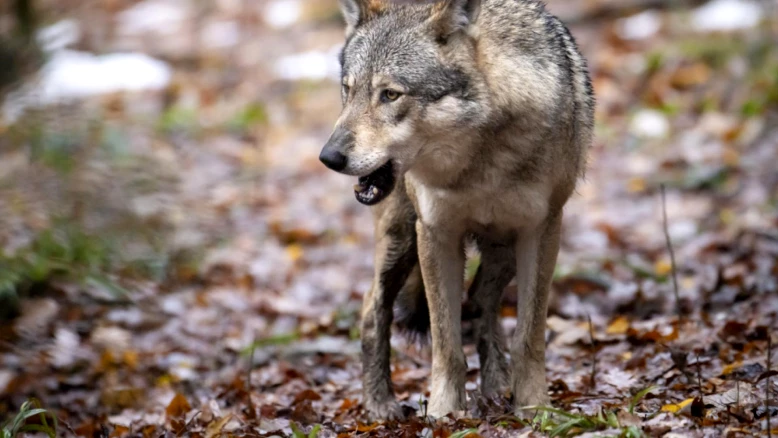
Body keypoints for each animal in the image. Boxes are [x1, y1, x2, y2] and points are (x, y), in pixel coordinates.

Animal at [319, 0, 594, 420]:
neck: (479, 163)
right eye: (348, 91)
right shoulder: (436, 233)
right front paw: (443, 415)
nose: (329, 157)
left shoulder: (542, 229)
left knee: (481, 301)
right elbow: (445, 342)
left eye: (390, 94)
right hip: (401, 240)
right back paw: (380, 405)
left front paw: (535, 408)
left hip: (502, 250)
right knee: (372, 308)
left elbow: (529, 336)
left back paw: (496, 386)